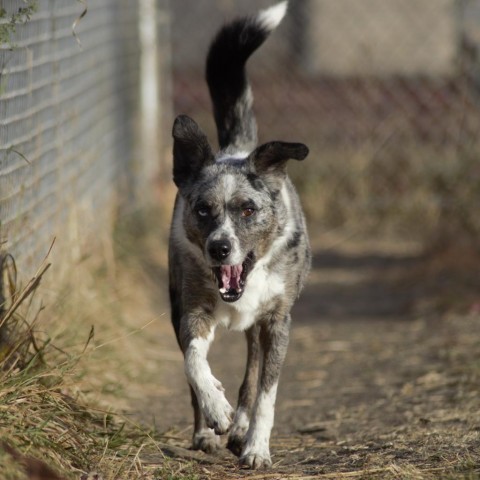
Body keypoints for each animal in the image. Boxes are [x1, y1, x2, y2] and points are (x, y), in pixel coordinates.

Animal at [169, 0, 312, 468]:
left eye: (248, 209)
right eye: (202, 209)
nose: (219, 248)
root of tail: (237, 148)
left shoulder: (277, 322)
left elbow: (266, 392)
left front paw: (255, 446)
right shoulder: (190, 311)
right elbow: (193, 363)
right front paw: (216, 409)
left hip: (258, 328)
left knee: (251, 372)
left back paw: (242, 431)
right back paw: (208, 431)